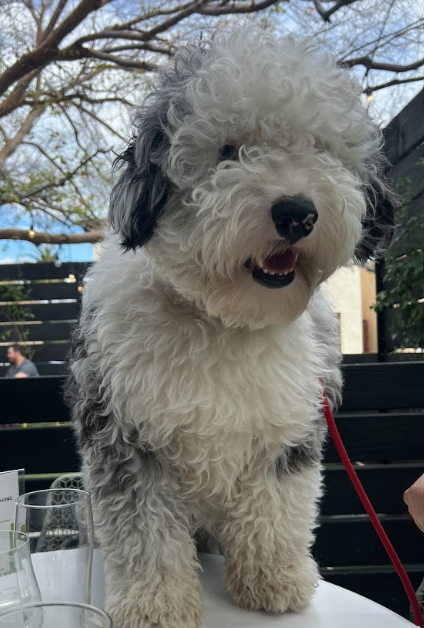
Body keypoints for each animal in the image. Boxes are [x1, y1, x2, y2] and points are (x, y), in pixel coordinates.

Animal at [65, 28, 394, 628]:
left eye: (319, 148)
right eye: (226, 151)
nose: (297, 213)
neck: (225, 322)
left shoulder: (289, 428)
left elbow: (276, 510)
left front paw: (274, 581)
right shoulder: (126, 435)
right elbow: (144, 530)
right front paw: (155, 604)